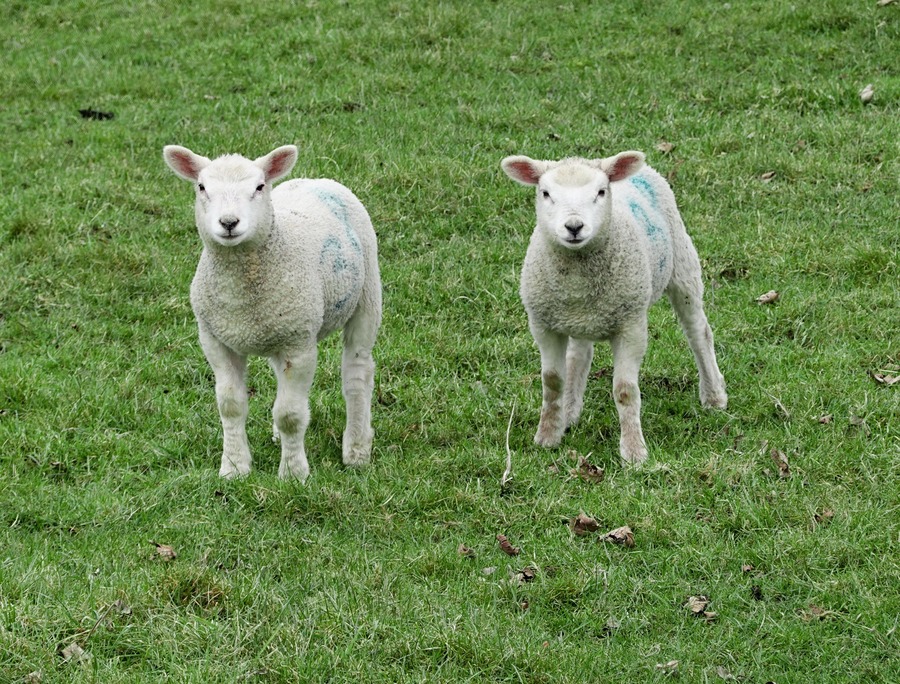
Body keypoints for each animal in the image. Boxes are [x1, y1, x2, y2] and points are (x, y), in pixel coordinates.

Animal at [163, 144, 382, 481]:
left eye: (259, 187)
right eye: (201, 187)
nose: (229, 222)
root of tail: (317, 179)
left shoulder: (299, 344)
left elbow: (290, 414)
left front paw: (293, 474)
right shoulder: (215, 340)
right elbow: (230, 405)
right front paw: (234, 467)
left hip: (367, 293)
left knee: (357, 373)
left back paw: (357, 450)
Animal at [501, 150, 727, 464]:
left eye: (600, 192)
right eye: (545, 193)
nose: (574, 227)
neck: (577, 272)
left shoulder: (631, 326)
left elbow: (625, 390)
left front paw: (633, 451)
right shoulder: (544, 325)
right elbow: (552, 382)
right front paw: (547, 436)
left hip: (683, 267)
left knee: (698, 333)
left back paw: (714, 395)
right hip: (579, 318)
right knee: (579, 355)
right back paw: (570, 411)